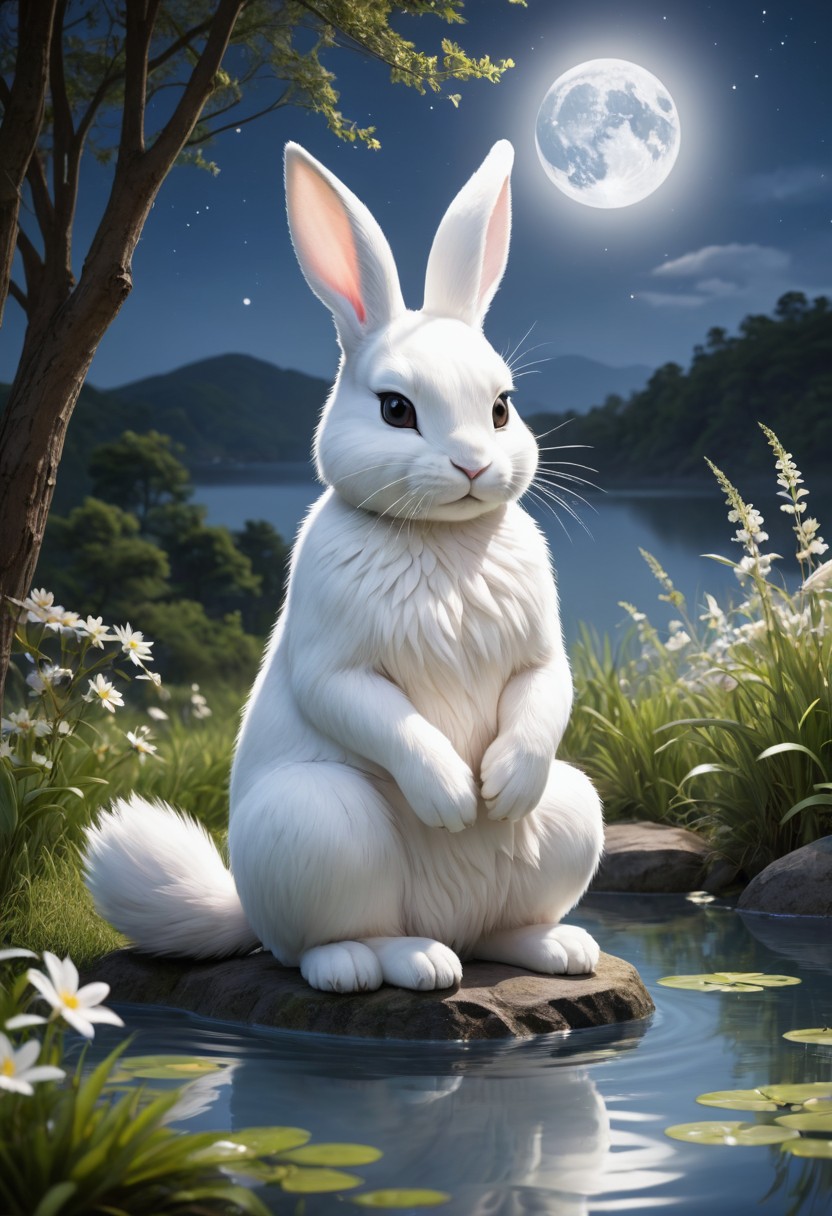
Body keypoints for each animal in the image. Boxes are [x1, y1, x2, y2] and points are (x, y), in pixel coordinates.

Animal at [83, 139, 604, 994]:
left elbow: (545, 690)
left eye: (502, 407)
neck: (438, 538)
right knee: (327, 943)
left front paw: (499, 789)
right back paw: (391, 966)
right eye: (396, 409)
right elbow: (374, 712)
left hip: (573, 811)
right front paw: (455, 799)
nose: (472, 466)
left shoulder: (540, 653)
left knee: (501, 929)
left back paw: (560, 950)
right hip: (321, 825)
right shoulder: (335, 662)